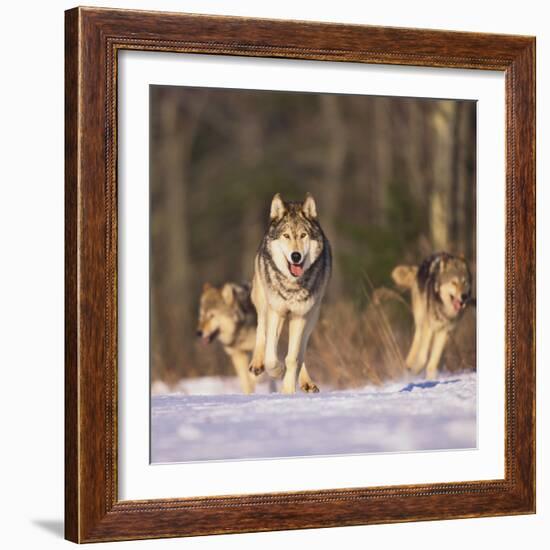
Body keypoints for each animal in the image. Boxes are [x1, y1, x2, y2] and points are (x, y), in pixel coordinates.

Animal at [250, 194, 332, 396]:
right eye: (286, 235)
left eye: (303, 235)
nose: (296, 256)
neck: (292, 285)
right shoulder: (277, 312)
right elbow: (271, 357)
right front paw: (277, 371)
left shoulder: (300, 316)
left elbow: (293, 357)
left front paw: (287, 390)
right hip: (262, 301)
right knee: (261, 330)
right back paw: (257, 364)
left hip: (312, 316)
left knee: (301, 352)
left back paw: (306, 382)